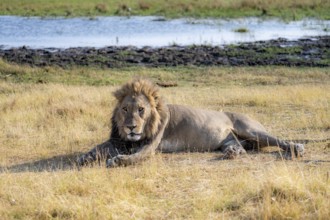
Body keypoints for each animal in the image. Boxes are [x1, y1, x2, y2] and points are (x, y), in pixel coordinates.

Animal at [77, 79, 304, 167]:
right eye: (125, 109)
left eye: (141, 110)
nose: (131, 127)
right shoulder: (118, 140)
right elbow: (98, 147)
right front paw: (84, 157)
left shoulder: (150, 145)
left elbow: (136, 156)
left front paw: (118, 160)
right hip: (230, 139)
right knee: (240, 147)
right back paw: (232, 153)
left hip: (250, 129)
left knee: (279, 140)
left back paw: (297, 147)